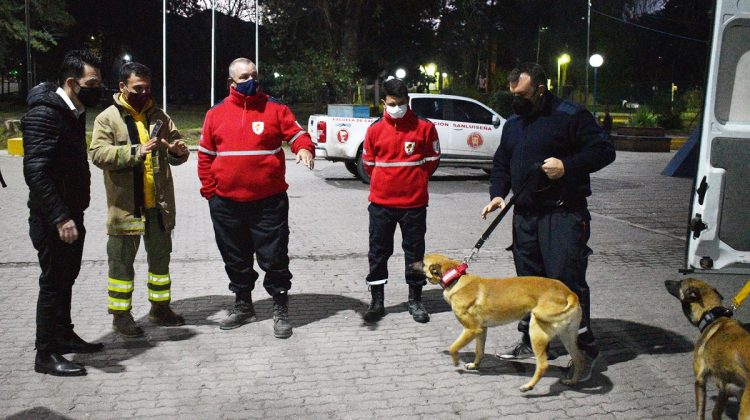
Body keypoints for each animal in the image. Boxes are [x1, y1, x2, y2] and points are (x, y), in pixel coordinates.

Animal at [418, 254, 588, 392]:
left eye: (422, 262)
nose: (411, 263)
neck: (456, 279)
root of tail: (569, 293)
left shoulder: (471, 329)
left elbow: (453, 347)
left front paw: (455, 361)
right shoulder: (481, 330)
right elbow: (479, 351)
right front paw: (474, 365)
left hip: (536, 333)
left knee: (543, 365)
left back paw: (528, 386)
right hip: (567, 336)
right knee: (579, 359)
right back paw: (572, 381)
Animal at [668, 278, 750, 420]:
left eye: (679, 283)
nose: (666, 281)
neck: (712, 318)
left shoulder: (700, 380)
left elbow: (700, 413)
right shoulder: (725, 386)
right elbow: (715, 412)